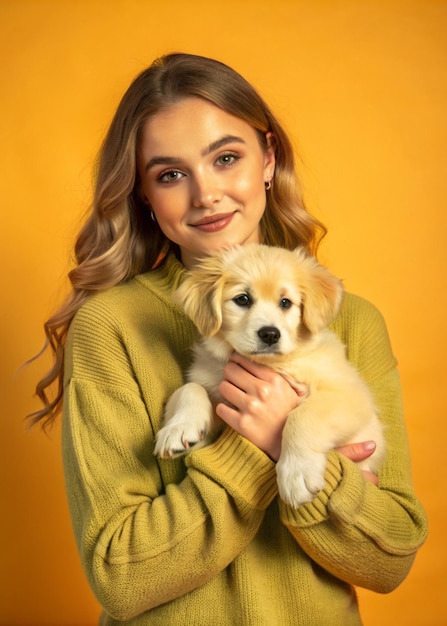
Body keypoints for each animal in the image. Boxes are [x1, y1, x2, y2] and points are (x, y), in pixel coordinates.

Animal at [154, 241, 384, 504]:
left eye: (285, 303)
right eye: (242, 299)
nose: (270, 334)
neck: (270, 363)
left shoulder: (351, 396)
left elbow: (302, 416)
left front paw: (297, 473)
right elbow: (190, 388)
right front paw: (179, 428)